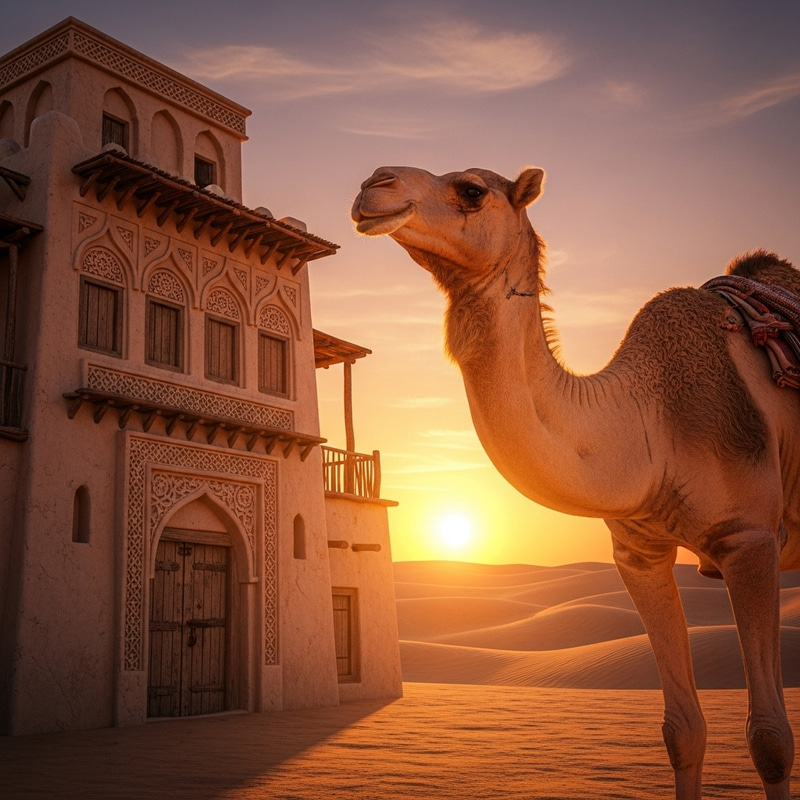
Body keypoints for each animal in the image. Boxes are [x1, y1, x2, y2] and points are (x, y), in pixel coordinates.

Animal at [351, 165, 800, 799]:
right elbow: (682, 730)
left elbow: (771, 740)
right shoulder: (639, 552)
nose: (375, 183)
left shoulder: (749, 540)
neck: (649, 420)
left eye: (472, 190)